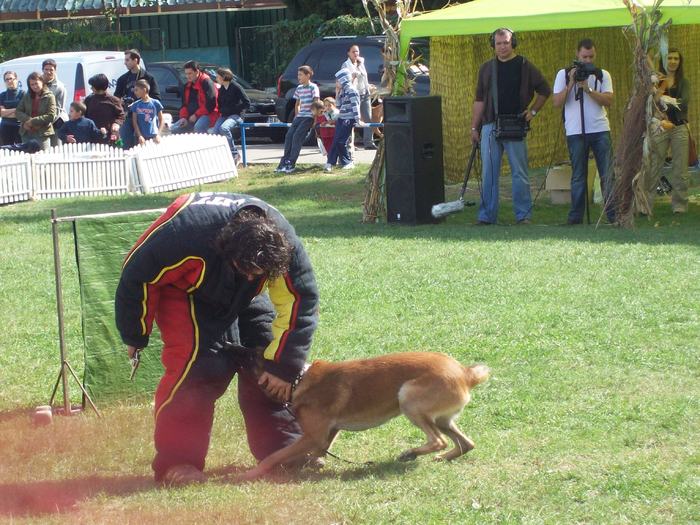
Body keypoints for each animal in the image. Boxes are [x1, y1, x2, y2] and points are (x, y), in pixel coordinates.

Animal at [243, 352, 490, 478]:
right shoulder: (329, 432)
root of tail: (465, 373)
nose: (239, 348)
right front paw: (310, 464)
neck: (299, 379)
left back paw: (410, 453)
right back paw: (441, 458)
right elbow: (317, 452)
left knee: (438, 440)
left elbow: (276, 455)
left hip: (408, 400)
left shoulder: (313, 436)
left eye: (256, 358)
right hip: (442, 419)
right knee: (466, 443)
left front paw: (252, 473)